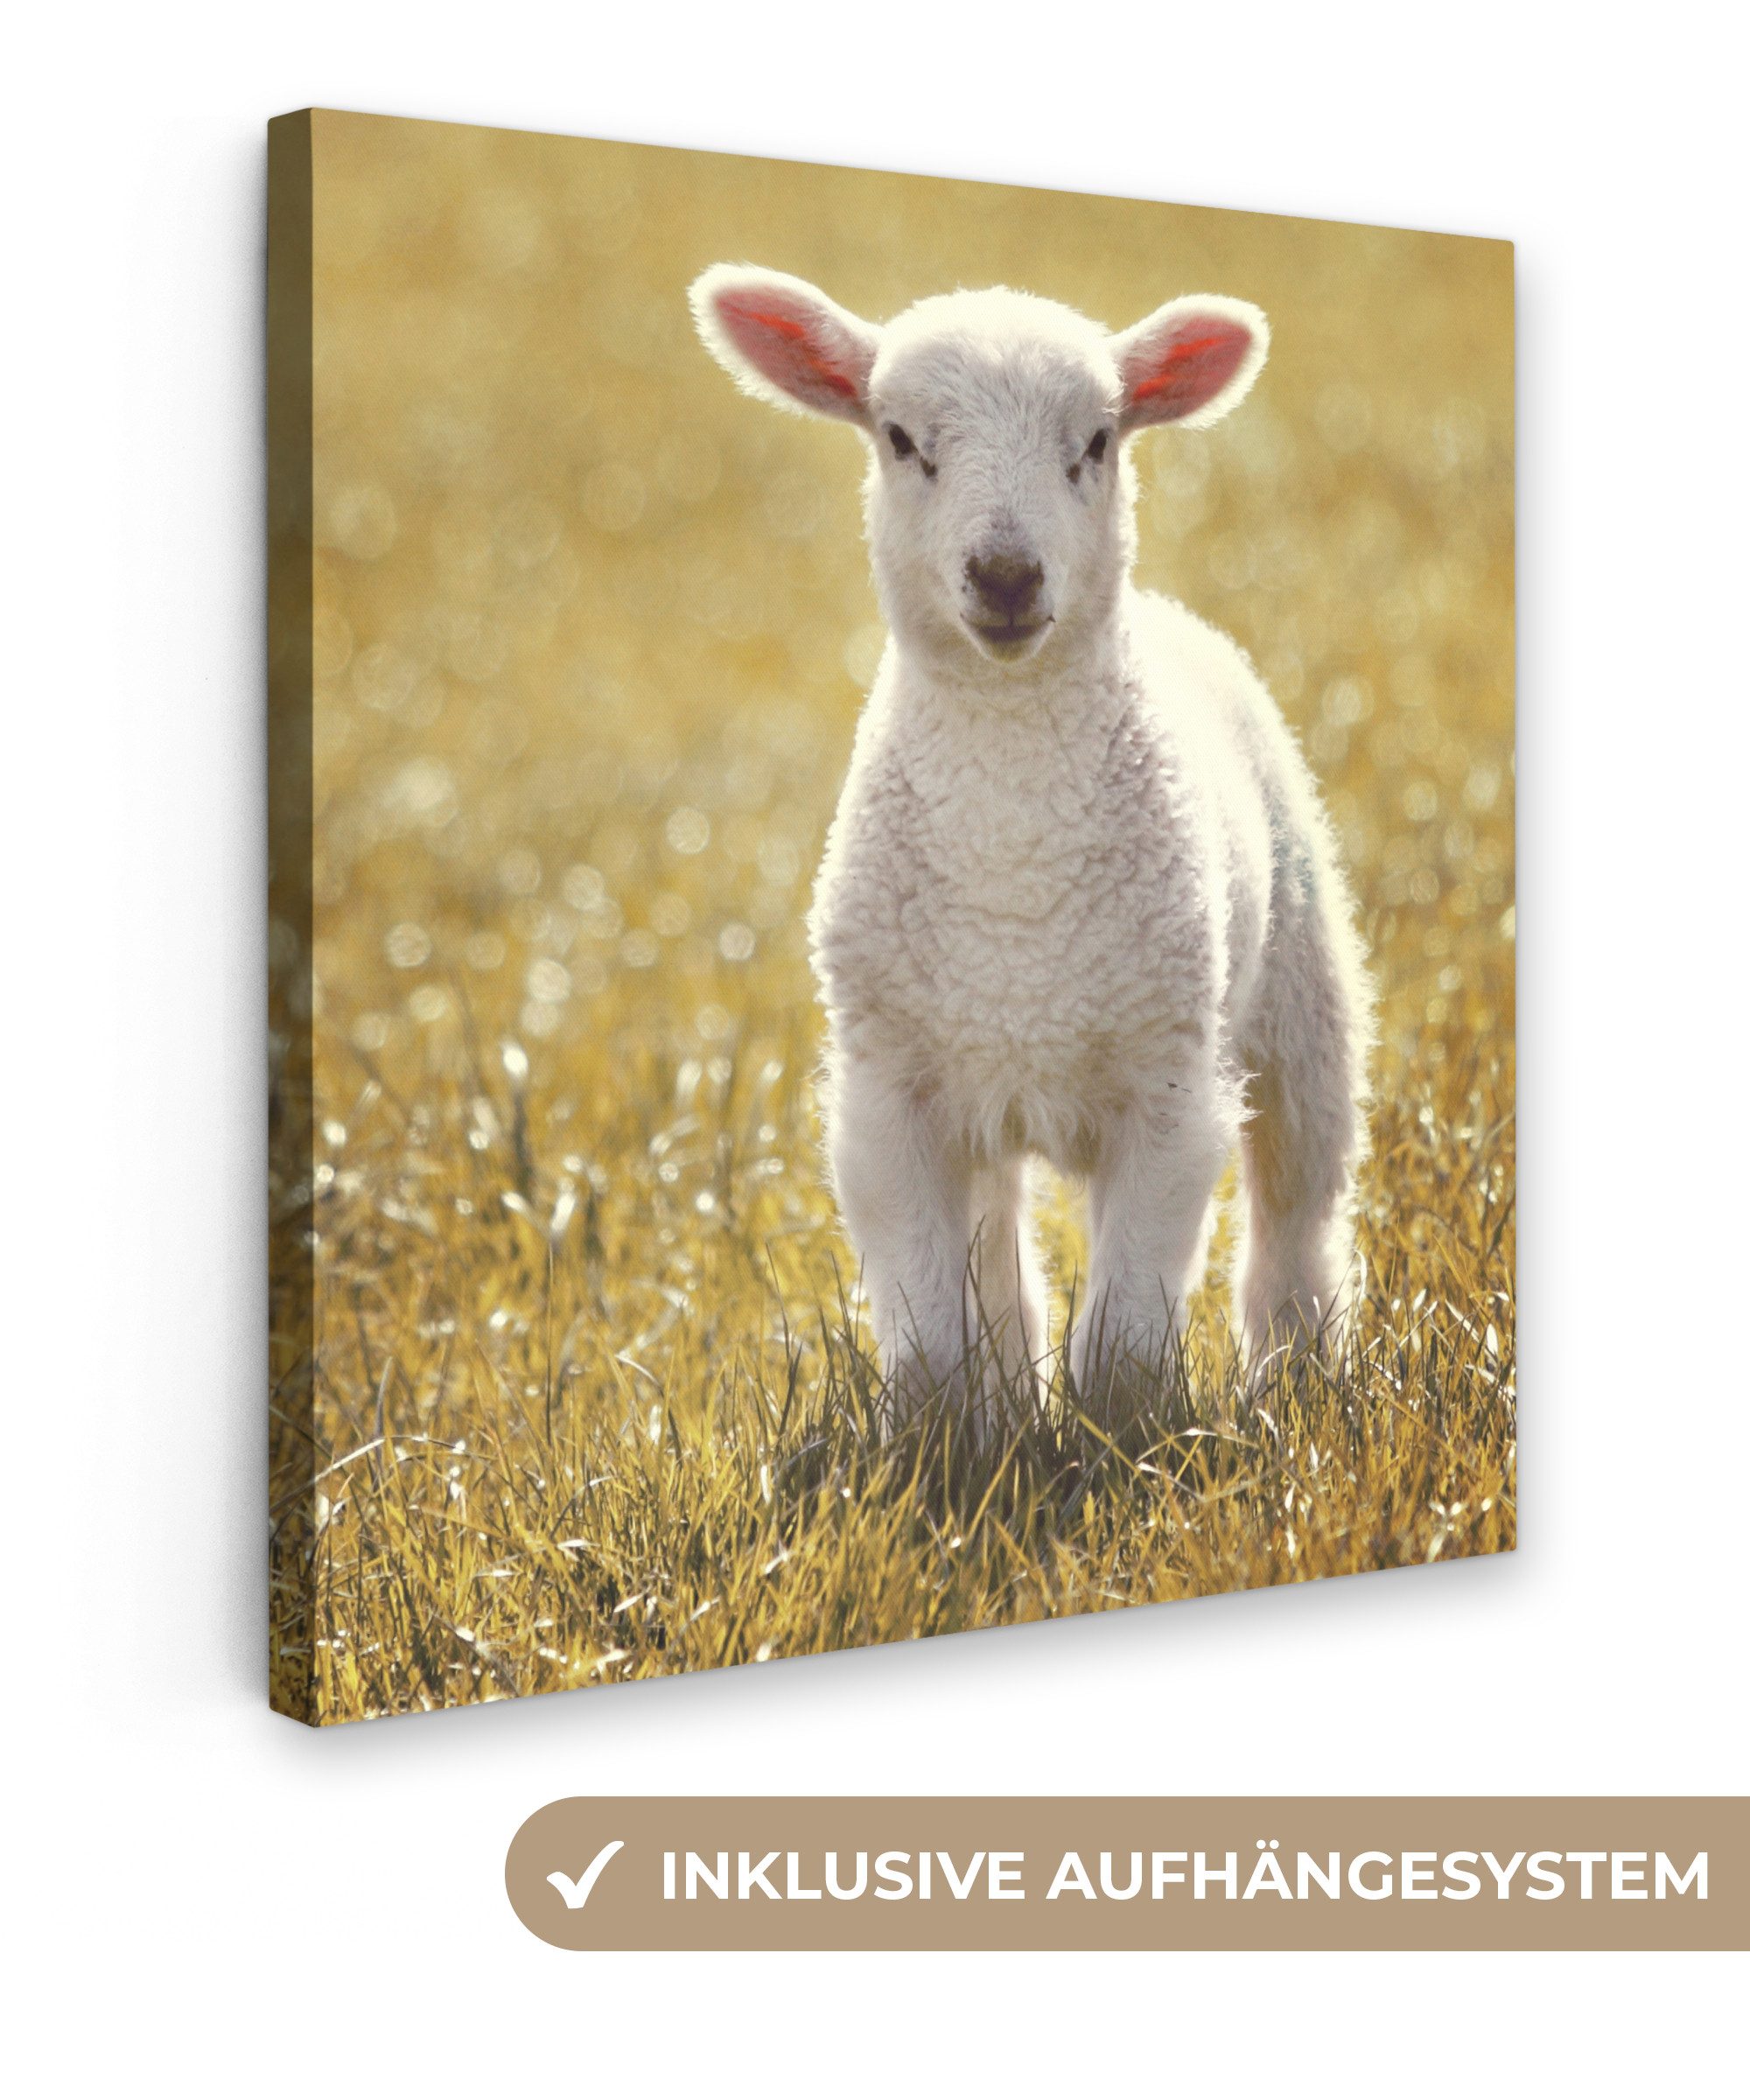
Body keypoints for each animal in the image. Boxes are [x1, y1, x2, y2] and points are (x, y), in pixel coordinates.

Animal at [690, 264, 1373, 1425]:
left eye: (1096, 440)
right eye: (899, 438)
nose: (1005, 574)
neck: (1014, 865)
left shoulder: (1166, 1083)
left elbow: (1128, 1334)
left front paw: (1115, 1441)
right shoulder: (889, 1092)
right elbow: (928, 1327)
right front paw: (941, 1438)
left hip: (1298, 997)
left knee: (1295, 1207)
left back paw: (1297, 1371)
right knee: (997, 1243)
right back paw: (1008, 1403)